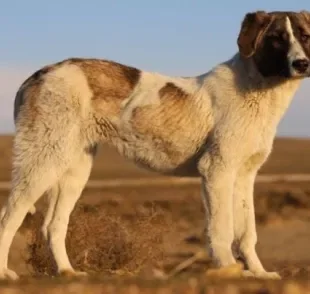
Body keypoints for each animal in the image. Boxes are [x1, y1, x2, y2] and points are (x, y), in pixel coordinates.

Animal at [0, 9, 310, 280]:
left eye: (305, 36)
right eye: (277, 38)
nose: (302, 64)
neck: (256, 86)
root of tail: (37, 75)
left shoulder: (245, 175)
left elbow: (247, 232)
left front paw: (258, 272)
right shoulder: (216, 170)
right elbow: (221, 229)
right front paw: (228, 268)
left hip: (73, 170)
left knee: (53, 225)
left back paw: (67, 272)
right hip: (41, 161)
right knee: (9, 216)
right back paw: (5, 273)